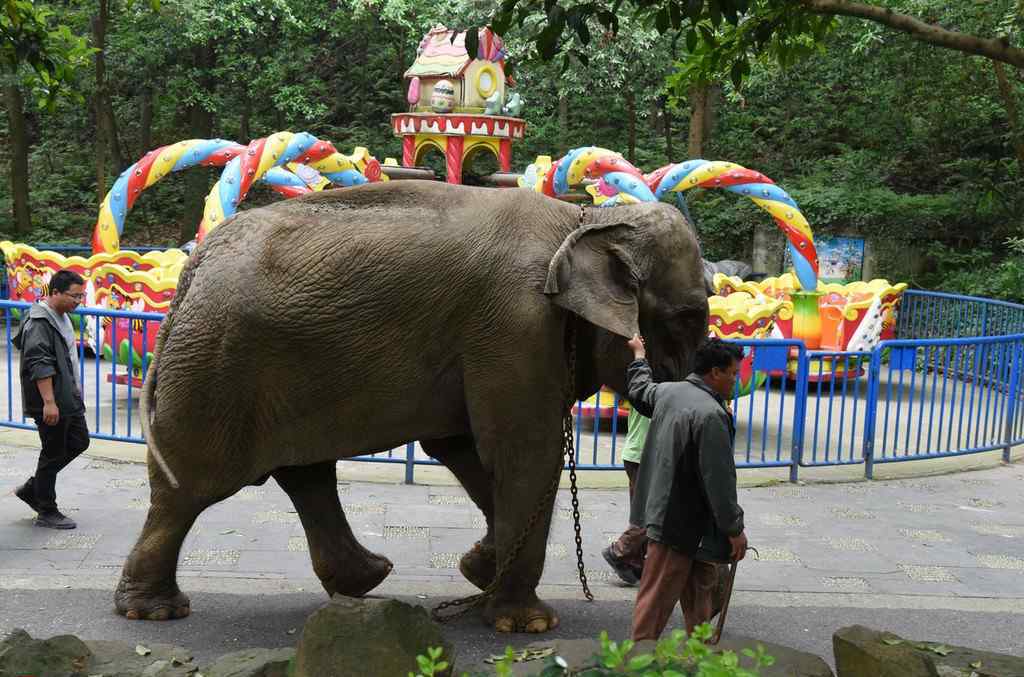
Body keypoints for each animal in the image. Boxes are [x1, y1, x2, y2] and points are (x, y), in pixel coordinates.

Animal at [116, 179, 708, 635]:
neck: (587, 219)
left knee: (304, 473)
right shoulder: (516, 326)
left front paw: (478, 570)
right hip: (216, 366)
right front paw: (527, 624)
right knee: (191, 487)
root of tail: (192, 268)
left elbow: (461, 447)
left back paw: (364, 582)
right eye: (687, 316)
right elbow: (523, 454)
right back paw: (155, 612)